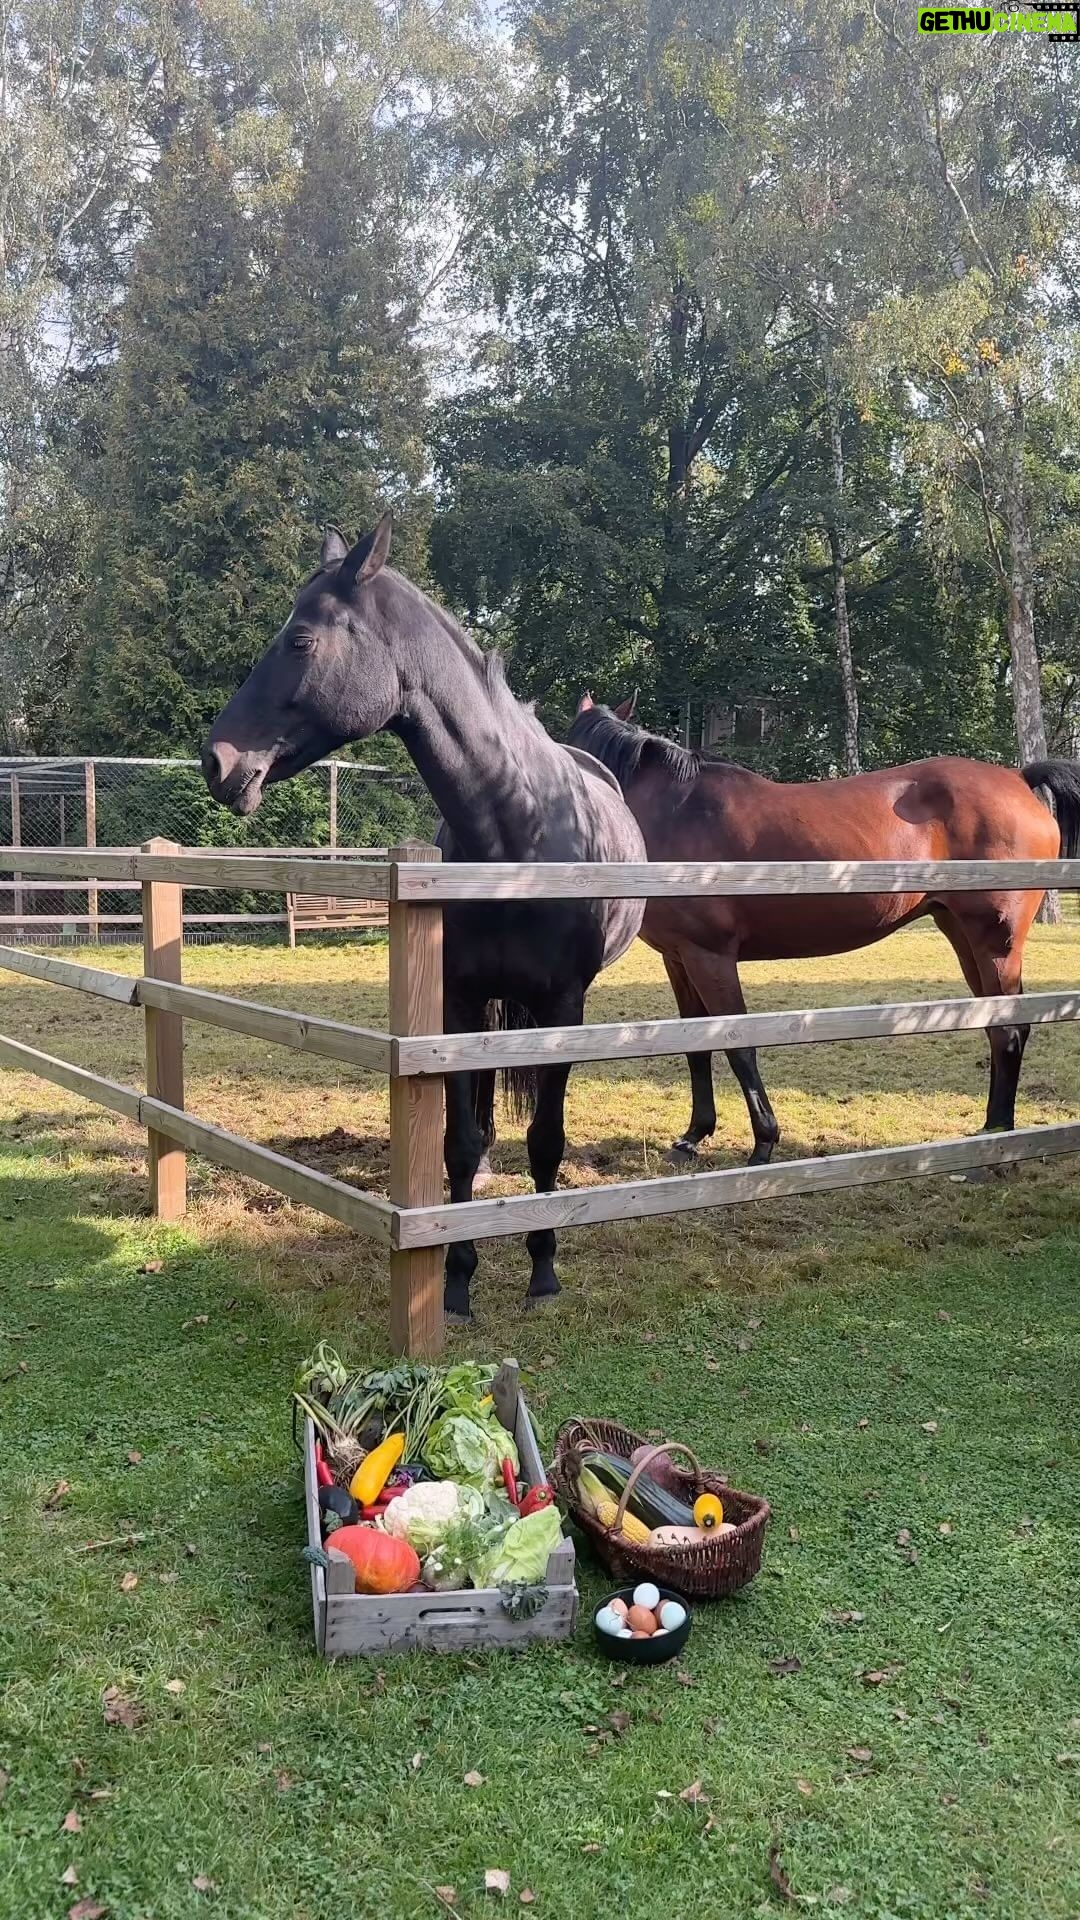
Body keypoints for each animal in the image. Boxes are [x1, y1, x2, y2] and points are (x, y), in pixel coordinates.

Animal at [202, 516, 646, 1321]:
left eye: (302, 640)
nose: (215, 761)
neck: (518, 833)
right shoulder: (459, 1001)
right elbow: (459, 1143)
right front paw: (459, 1281)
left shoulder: (562, 1006)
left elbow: (548, 1140)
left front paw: (542, 1271)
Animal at [568, 693, 1080, 1165]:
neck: (675, 813)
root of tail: (1018, 778)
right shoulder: (678, 957)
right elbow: (696, 1044)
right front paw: (693, 1136)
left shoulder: (709, 956)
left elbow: (738, 1045)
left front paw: (763, 1144)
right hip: (962, 936)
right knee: (1000, 1029)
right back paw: (991, 1130)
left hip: (994, 943)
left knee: (1009, 1032)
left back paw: (996, 1144)